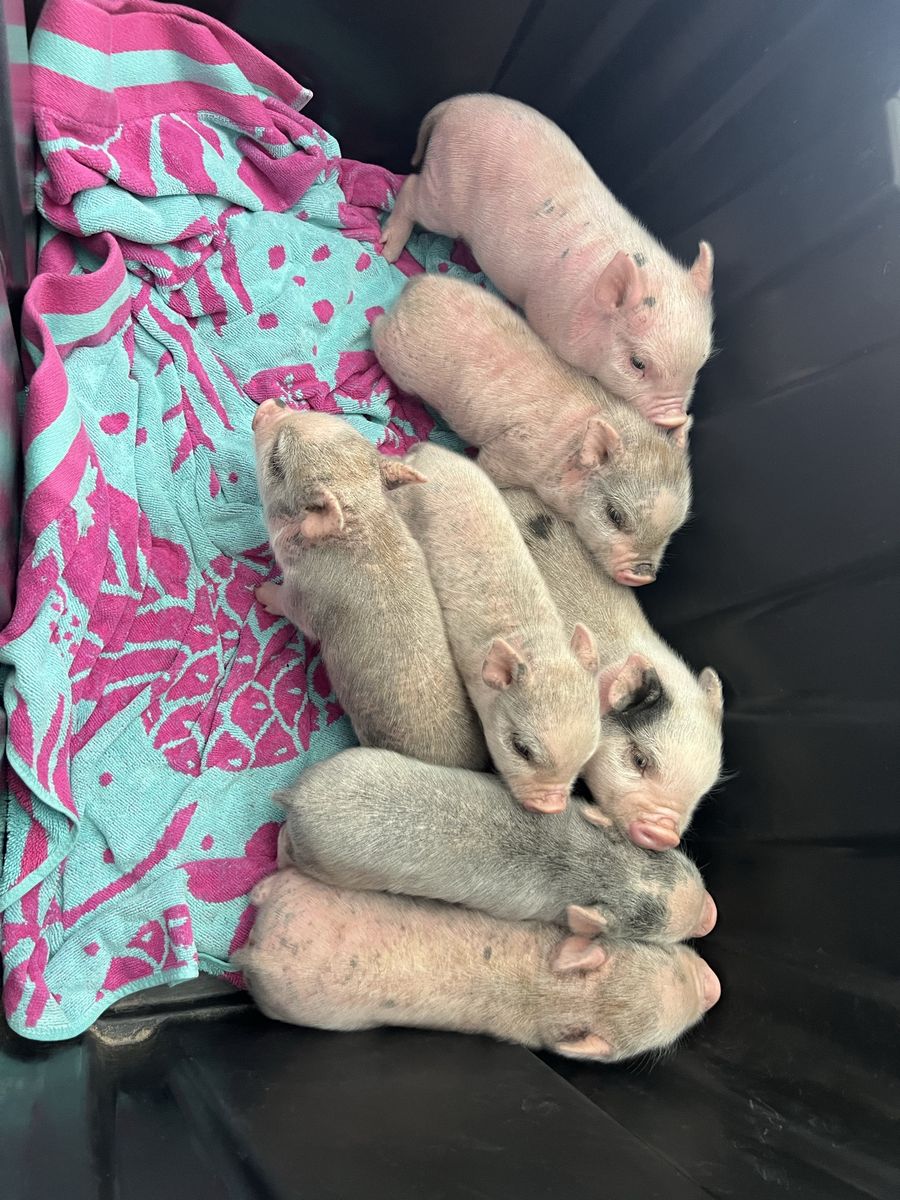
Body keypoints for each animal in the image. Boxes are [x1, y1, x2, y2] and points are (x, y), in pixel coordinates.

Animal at [252, 401, 487, 770]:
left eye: (277, 460)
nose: (268, 404)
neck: (361, 516)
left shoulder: (304, 597)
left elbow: (291, 609)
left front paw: (259, 592)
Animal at [275, 747, 718, 943]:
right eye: (651, 934)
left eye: (658, 855)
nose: (710, 916)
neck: (590, 863)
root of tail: (298, 797)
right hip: (323, 861)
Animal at [374, 273, 691, 585]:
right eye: (615, 515)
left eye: (673, 530)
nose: (643, 576)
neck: (569, 446)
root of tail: (415, 286)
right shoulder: (509, 450)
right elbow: (489, 467)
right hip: (395, 355)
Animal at [379, 93, 714, 429]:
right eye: (638, 363)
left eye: (700, 364)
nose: (674, 418)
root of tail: (454, 105)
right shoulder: (548, 320)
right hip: (444, 195)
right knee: (411, 187)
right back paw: (388, 252)